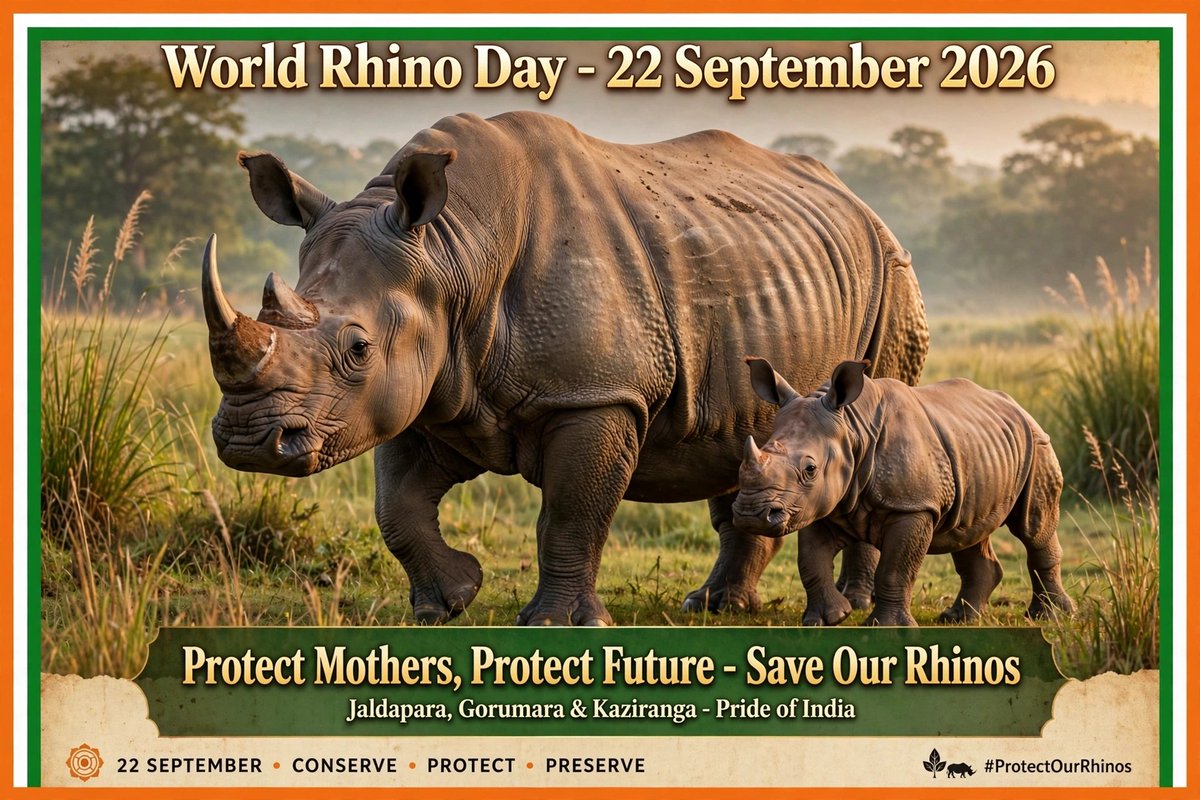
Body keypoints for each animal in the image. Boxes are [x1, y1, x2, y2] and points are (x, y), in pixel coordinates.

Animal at [202, 111, 929, 626]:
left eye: (357, 348)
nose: (248, 441)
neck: (450, 252)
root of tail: (859, 202)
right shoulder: (426, 389)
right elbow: (396, 507)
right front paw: (450, 599)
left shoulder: (597, 394)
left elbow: (572, 512)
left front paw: (555, 624)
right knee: (746, 432)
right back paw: (715, 608)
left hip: (894, 279)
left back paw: (855, 607)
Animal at [733, 358, 1075, 626]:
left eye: (810, 469)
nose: (751, 514)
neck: (852, 430)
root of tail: (1019, 407)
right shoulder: (819, 503)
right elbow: (810, 560)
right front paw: (828, 618)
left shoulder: (913, 506)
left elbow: (895, 567)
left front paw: (886, 627)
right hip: (980, 447)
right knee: (968, 530)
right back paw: (958, 618)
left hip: (1037, 444)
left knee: (1033, 528)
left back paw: (1050, 617)